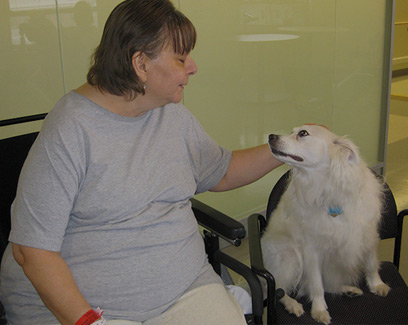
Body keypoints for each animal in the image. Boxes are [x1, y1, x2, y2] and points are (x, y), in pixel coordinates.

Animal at [262, 124, 390, 324]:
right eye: (292, 131)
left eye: (303, 133)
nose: (270, 136)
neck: (327, 190)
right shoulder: (312, 250)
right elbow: (316, 285)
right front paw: (319, 310)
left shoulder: (367, 235)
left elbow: (371, 264)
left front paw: (377, 285)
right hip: (291, 256)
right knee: (279, 289)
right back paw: (293, 305)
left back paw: (348, 289)